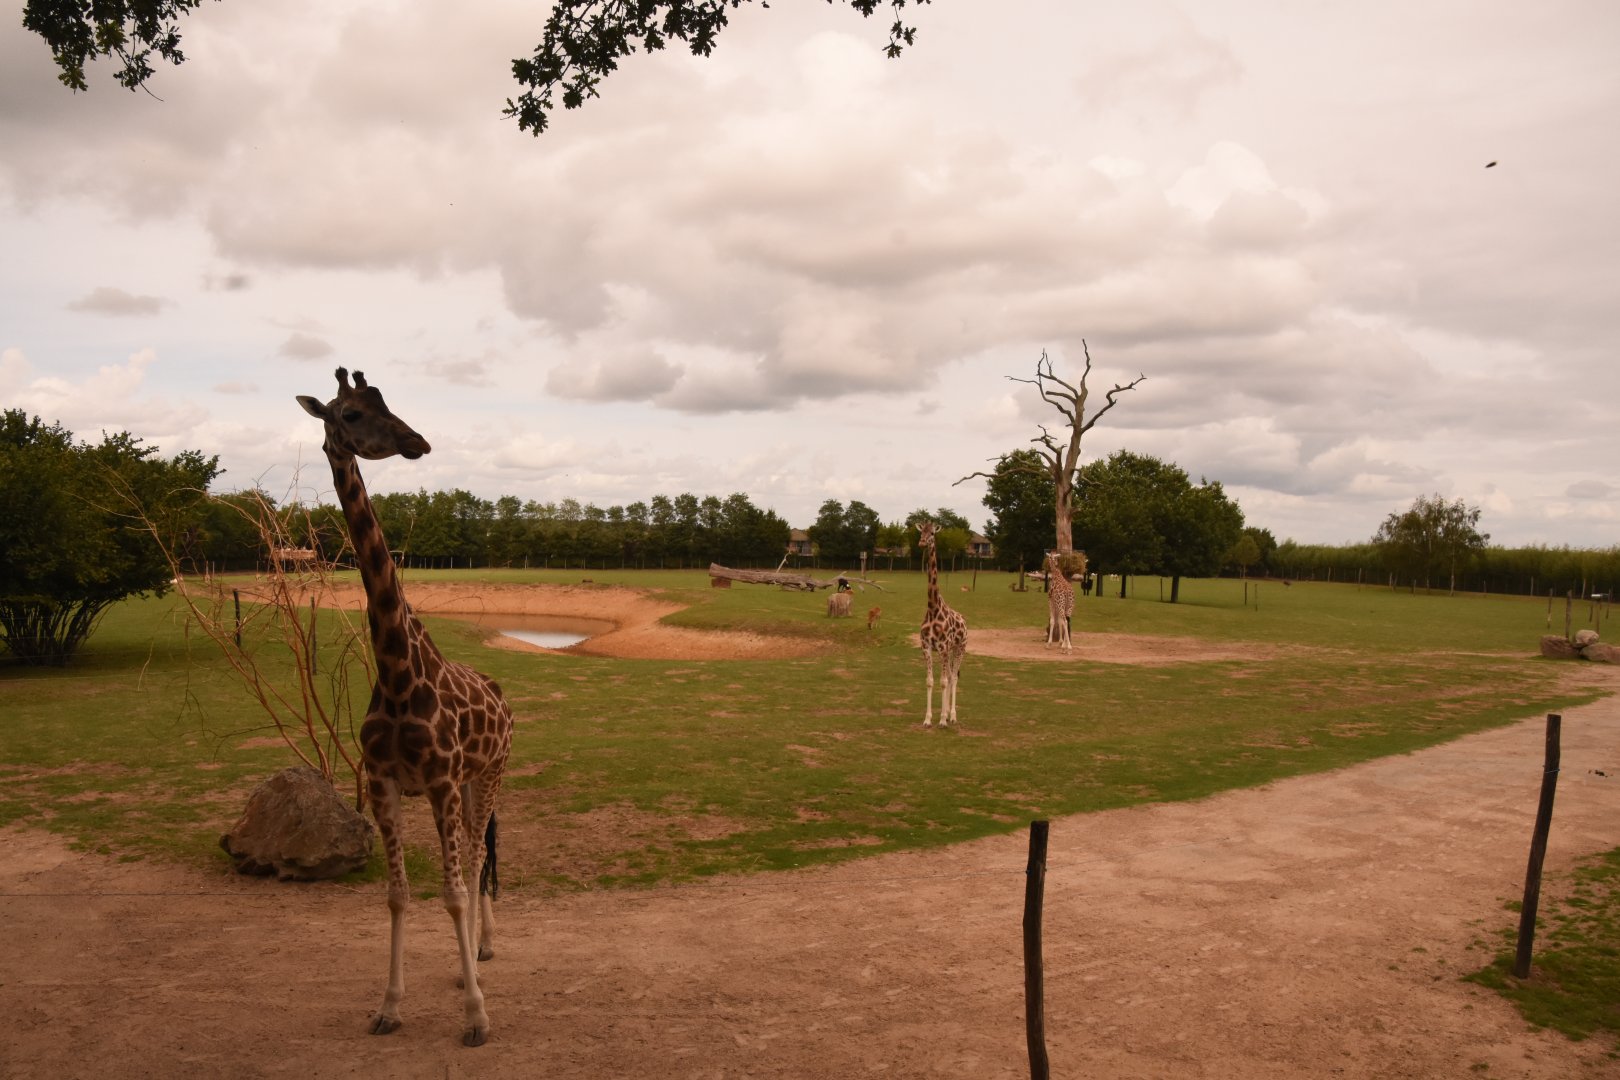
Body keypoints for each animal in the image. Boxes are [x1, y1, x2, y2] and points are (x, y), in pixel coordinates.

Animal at [297, 369, 513, 1048]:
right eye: (351, 413)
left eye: (389, 402)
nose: (418, 441)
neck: (396, 673)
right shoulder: (384, 781)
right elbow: (396, 895)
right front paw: (389, 1007)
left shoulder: (440, 781)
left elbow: (451, 891)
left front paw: (476, 1015)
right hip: (470, 782)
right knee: (475, 854)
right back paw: (477, 954)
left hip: (490, 773)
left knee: (475, 858)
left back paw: (482, 958)